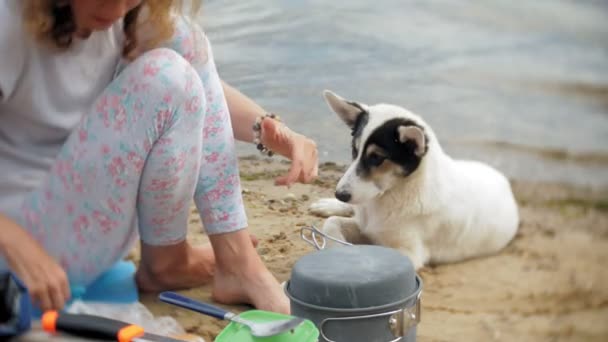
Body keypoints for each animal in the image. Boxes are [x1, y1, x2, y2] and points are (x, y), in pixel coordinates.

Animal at [312, 91, 520, 270]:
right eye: (354, 150)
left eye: (377, 158)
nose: (340, 194)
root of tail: (503, 180)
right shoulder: (365, 224)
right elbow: (332, 223)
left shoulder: (407, 253)